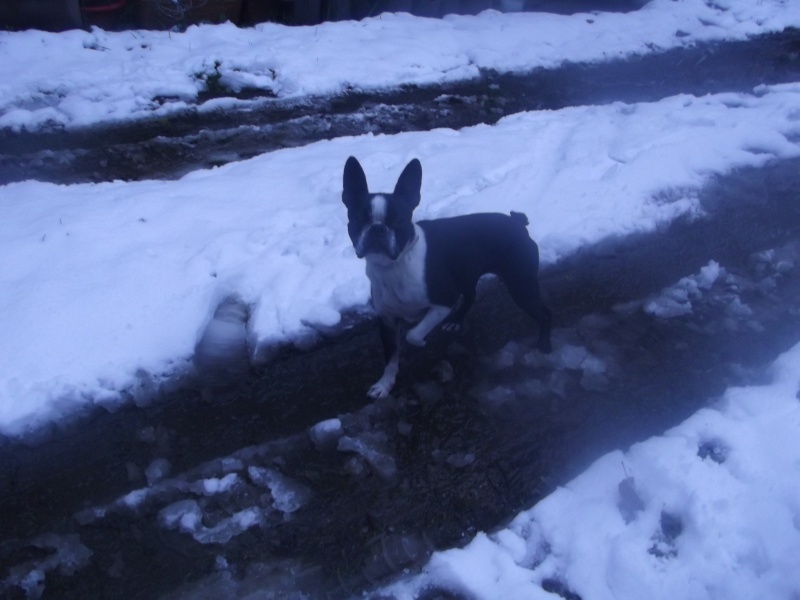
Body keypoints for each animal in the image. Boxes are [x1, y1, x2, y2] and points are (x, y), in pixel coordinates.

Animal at [340, 157, 552, 396]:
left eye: (399, 220)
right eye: (358, 219)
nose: (377, 229)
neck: (394, 265)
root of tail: (517, 223)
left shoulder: (443, 301)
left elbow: (413, 335)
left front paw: (421, 342)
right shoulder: (387, 320)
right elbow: (390, 357)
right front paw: (384, 385)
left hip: (521, 285)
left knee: (544, 313)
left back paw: (544, 344)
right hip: (467, 272)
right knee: (470, 295)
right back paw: (456, 321)